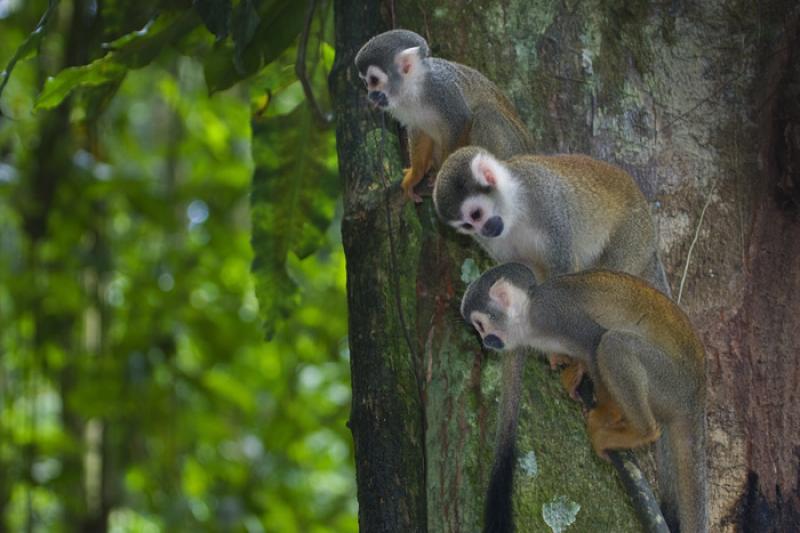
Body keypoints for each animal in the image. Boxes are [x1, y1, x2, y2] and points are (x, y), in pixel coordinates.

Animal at [354, 30, 532, 202]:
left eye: (374, 80)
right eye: (366, 83)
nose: (370, 95)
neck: (415, 88)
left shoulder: (441, 89)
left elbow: (460, 121)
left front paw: (442, 172)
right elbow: (419, 131)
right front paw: (416, 174)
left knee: (486, 113)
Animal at [432, 144, 676, 528]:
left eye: (476, 213)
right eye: (467, 225)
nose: (486, 228)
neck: (512, 209)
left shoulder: (547, 204)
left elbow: (562, 270)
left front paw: (576, 362)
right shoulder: (496, 246)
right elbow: (521, 276)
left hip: (634, 232)